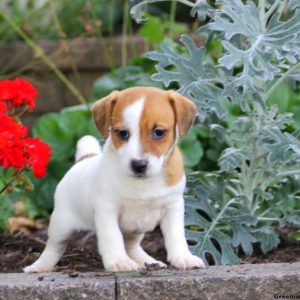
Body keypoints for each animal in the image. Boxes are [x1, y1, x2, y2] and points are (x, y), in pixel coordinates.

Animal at [24, 86, 205, 272]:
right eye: (123, 133)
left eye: (159, 132)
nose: (138, 165)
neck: (142, 183)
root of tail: (85, 158)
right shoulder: (107, 211)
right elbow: (112, 237)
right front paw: (119, 261)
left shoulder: (173, 207)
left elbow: (176, 236)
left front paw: (183, 257)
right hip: (61, 225)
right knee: (54, 247)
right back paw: (39, 266)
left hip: (135, 231)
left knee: (132, 246)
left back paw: (147, 261)